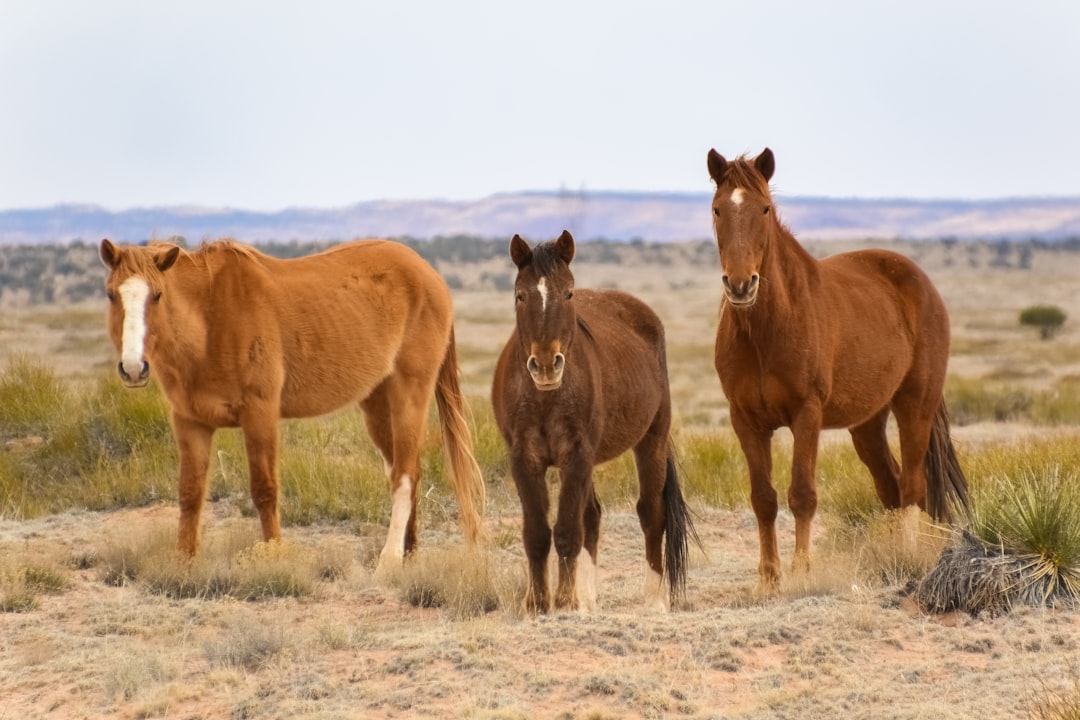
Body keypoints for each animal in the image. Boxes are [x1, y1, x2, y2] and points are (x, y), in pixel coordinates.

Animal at [99, 237, 488, 574]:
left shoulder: (260, 414)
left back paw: (388, 561)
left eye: (157, 296)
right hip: (377, 403)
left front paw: (274, 557)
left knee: (404, 475)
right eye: (110, 295)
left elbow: (264, 490)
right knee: (406, 469)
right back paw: (409, 556)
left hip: (410, 393)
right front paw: (184, 563)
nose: (133, 368)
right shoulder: (190, 422)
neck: (210, 320)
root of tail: (429, 274)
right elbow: (190, 493)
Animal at [492, 231, 695, 613]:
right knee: (594, 517)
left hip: (651, 440)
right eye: (520, 295)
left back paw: (653, 600)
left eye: (569, 293)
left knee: (651, 514)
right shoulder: (524, 459)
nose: (546, 365)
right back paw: (588, 599)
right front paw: (539, 603)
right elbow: (537, 533)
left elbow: (567, 531)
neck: (546, 397)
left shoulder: (577, 455)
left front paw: (563, 601)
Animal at [708, 148, 972, 587]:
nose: (741, 285)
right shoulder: (745, 420)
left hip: (914, 406)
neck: (766, 330)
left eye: (765, 209)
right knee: (890, 486)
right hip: (867, 423)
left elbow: (802, 493)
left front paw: (801, 569)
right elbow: (763, 498)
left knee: (913, 486)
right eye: (716, 210)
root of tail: (919, 280)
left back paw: (906, 554)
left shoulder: (807, 414)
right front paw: (769, 577)